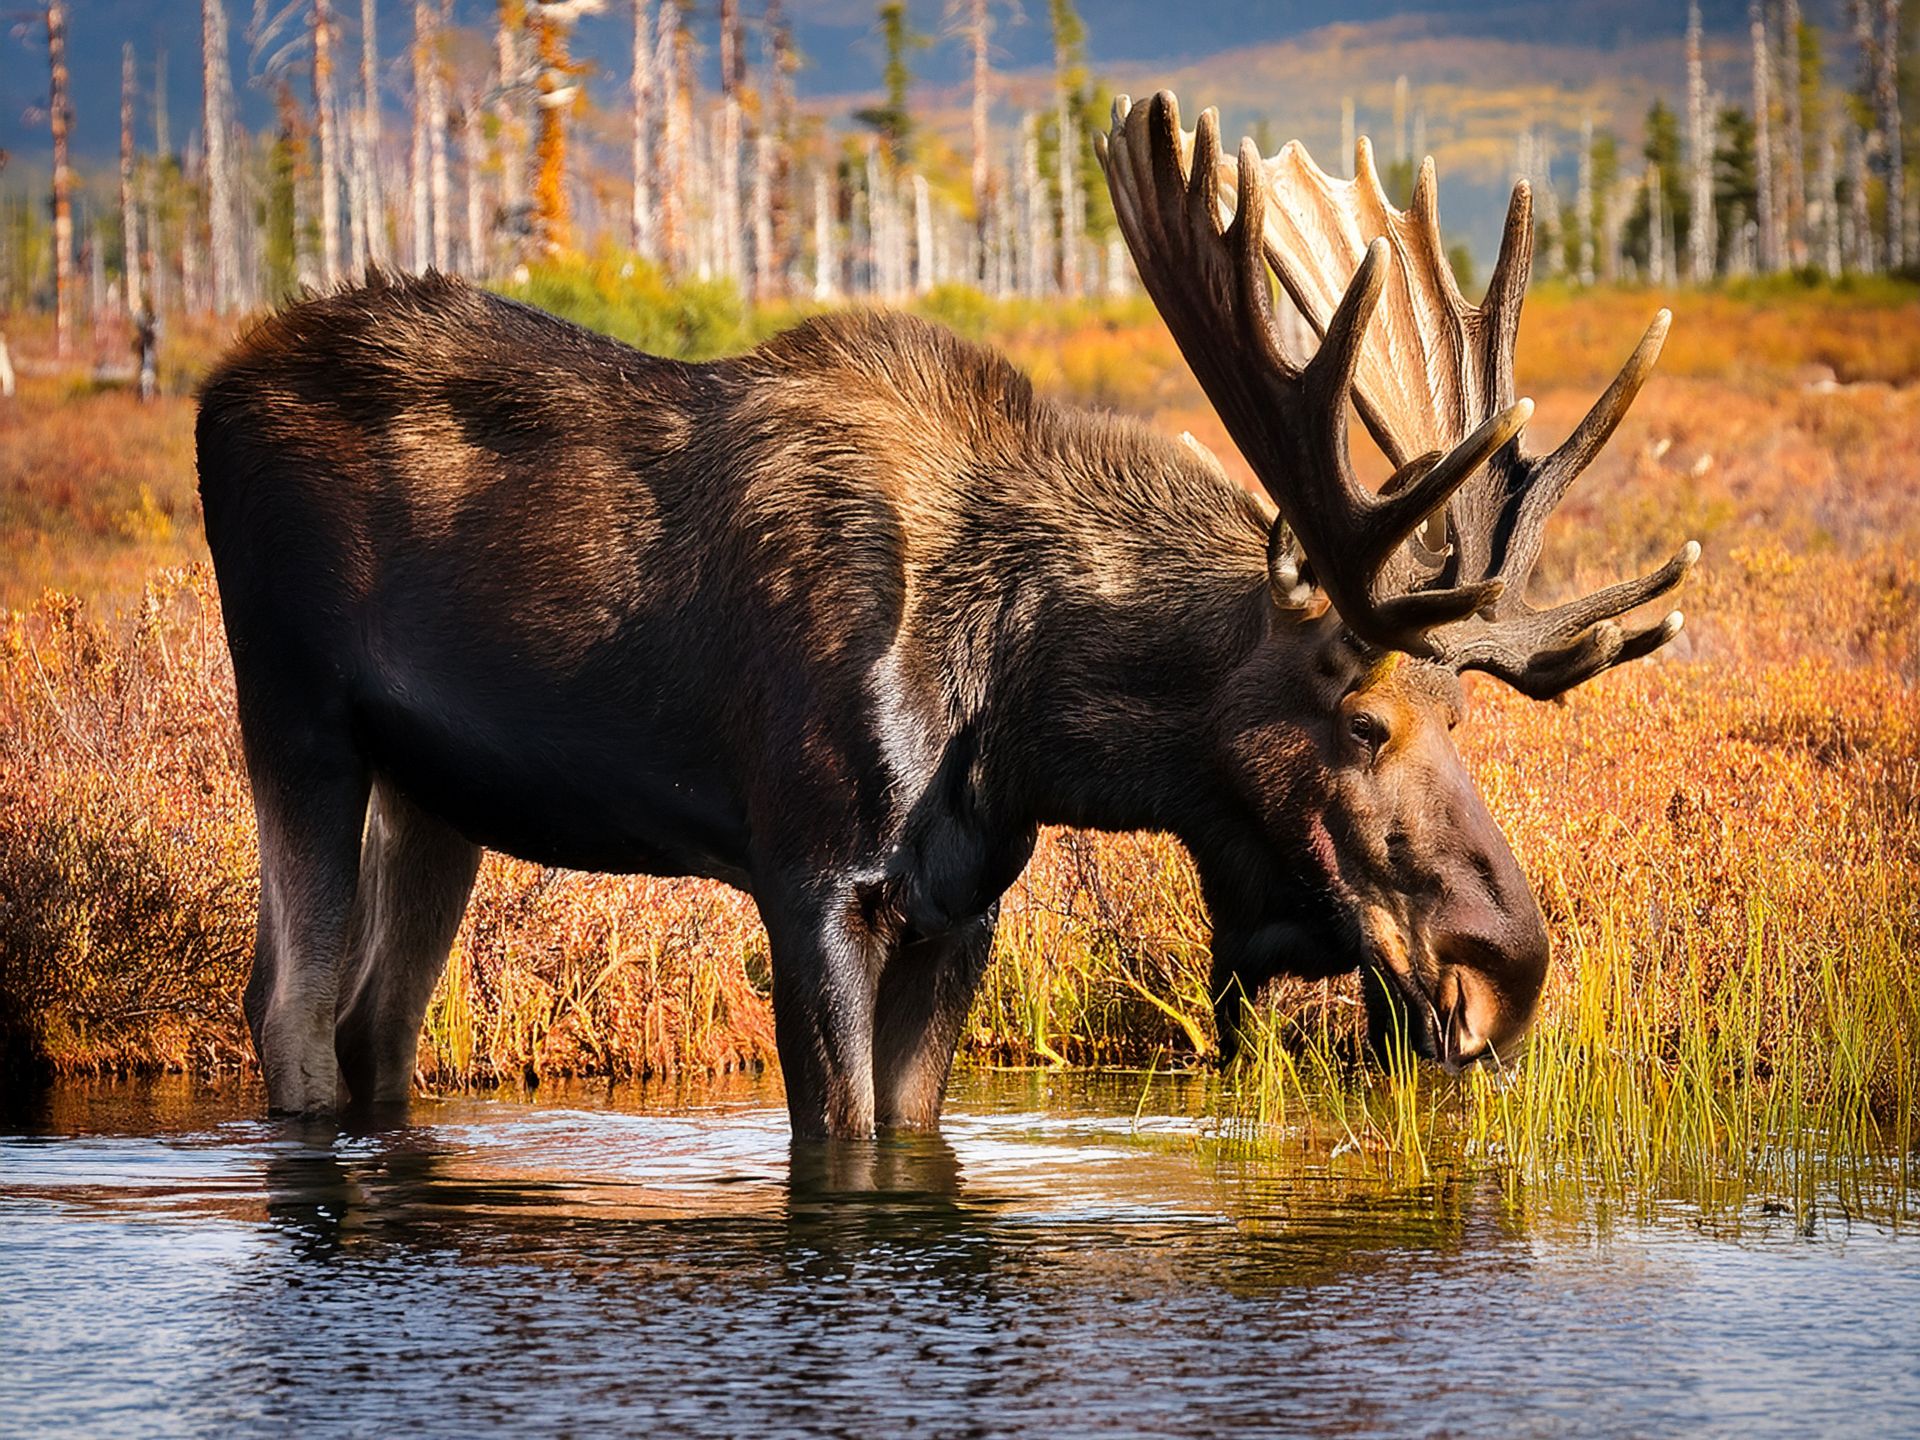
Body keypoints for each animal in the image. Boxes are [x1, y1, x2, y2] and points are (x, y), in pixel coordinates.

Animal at [194, 90, 1695, 1139]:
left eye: (1460, 712)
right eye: (1364, 716)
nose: (1508, 971)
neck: (1023, 715)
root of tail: (215, 383)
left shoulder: (963, 904)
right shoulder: (812, 878)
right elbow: (845, 1137)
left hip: (437, 791)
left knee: (382, 1024)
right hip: (296, 718)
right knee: (293, 1005)